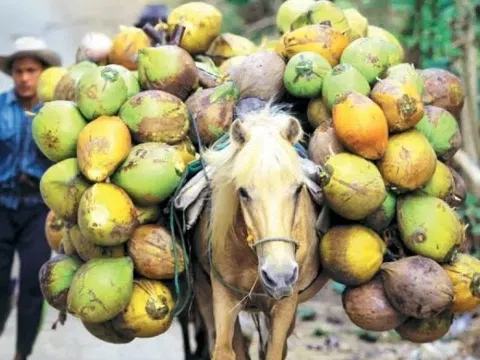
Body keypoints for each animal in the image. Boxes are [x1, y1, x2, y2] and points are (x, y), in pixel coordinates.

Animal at [188, 105, 330, 360]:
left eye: (298, 189)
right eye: (243, 192)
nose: (279, 275)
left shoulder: (285, 304)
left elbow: (273, 351)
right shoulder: (223, 295)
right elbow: (225, 350)